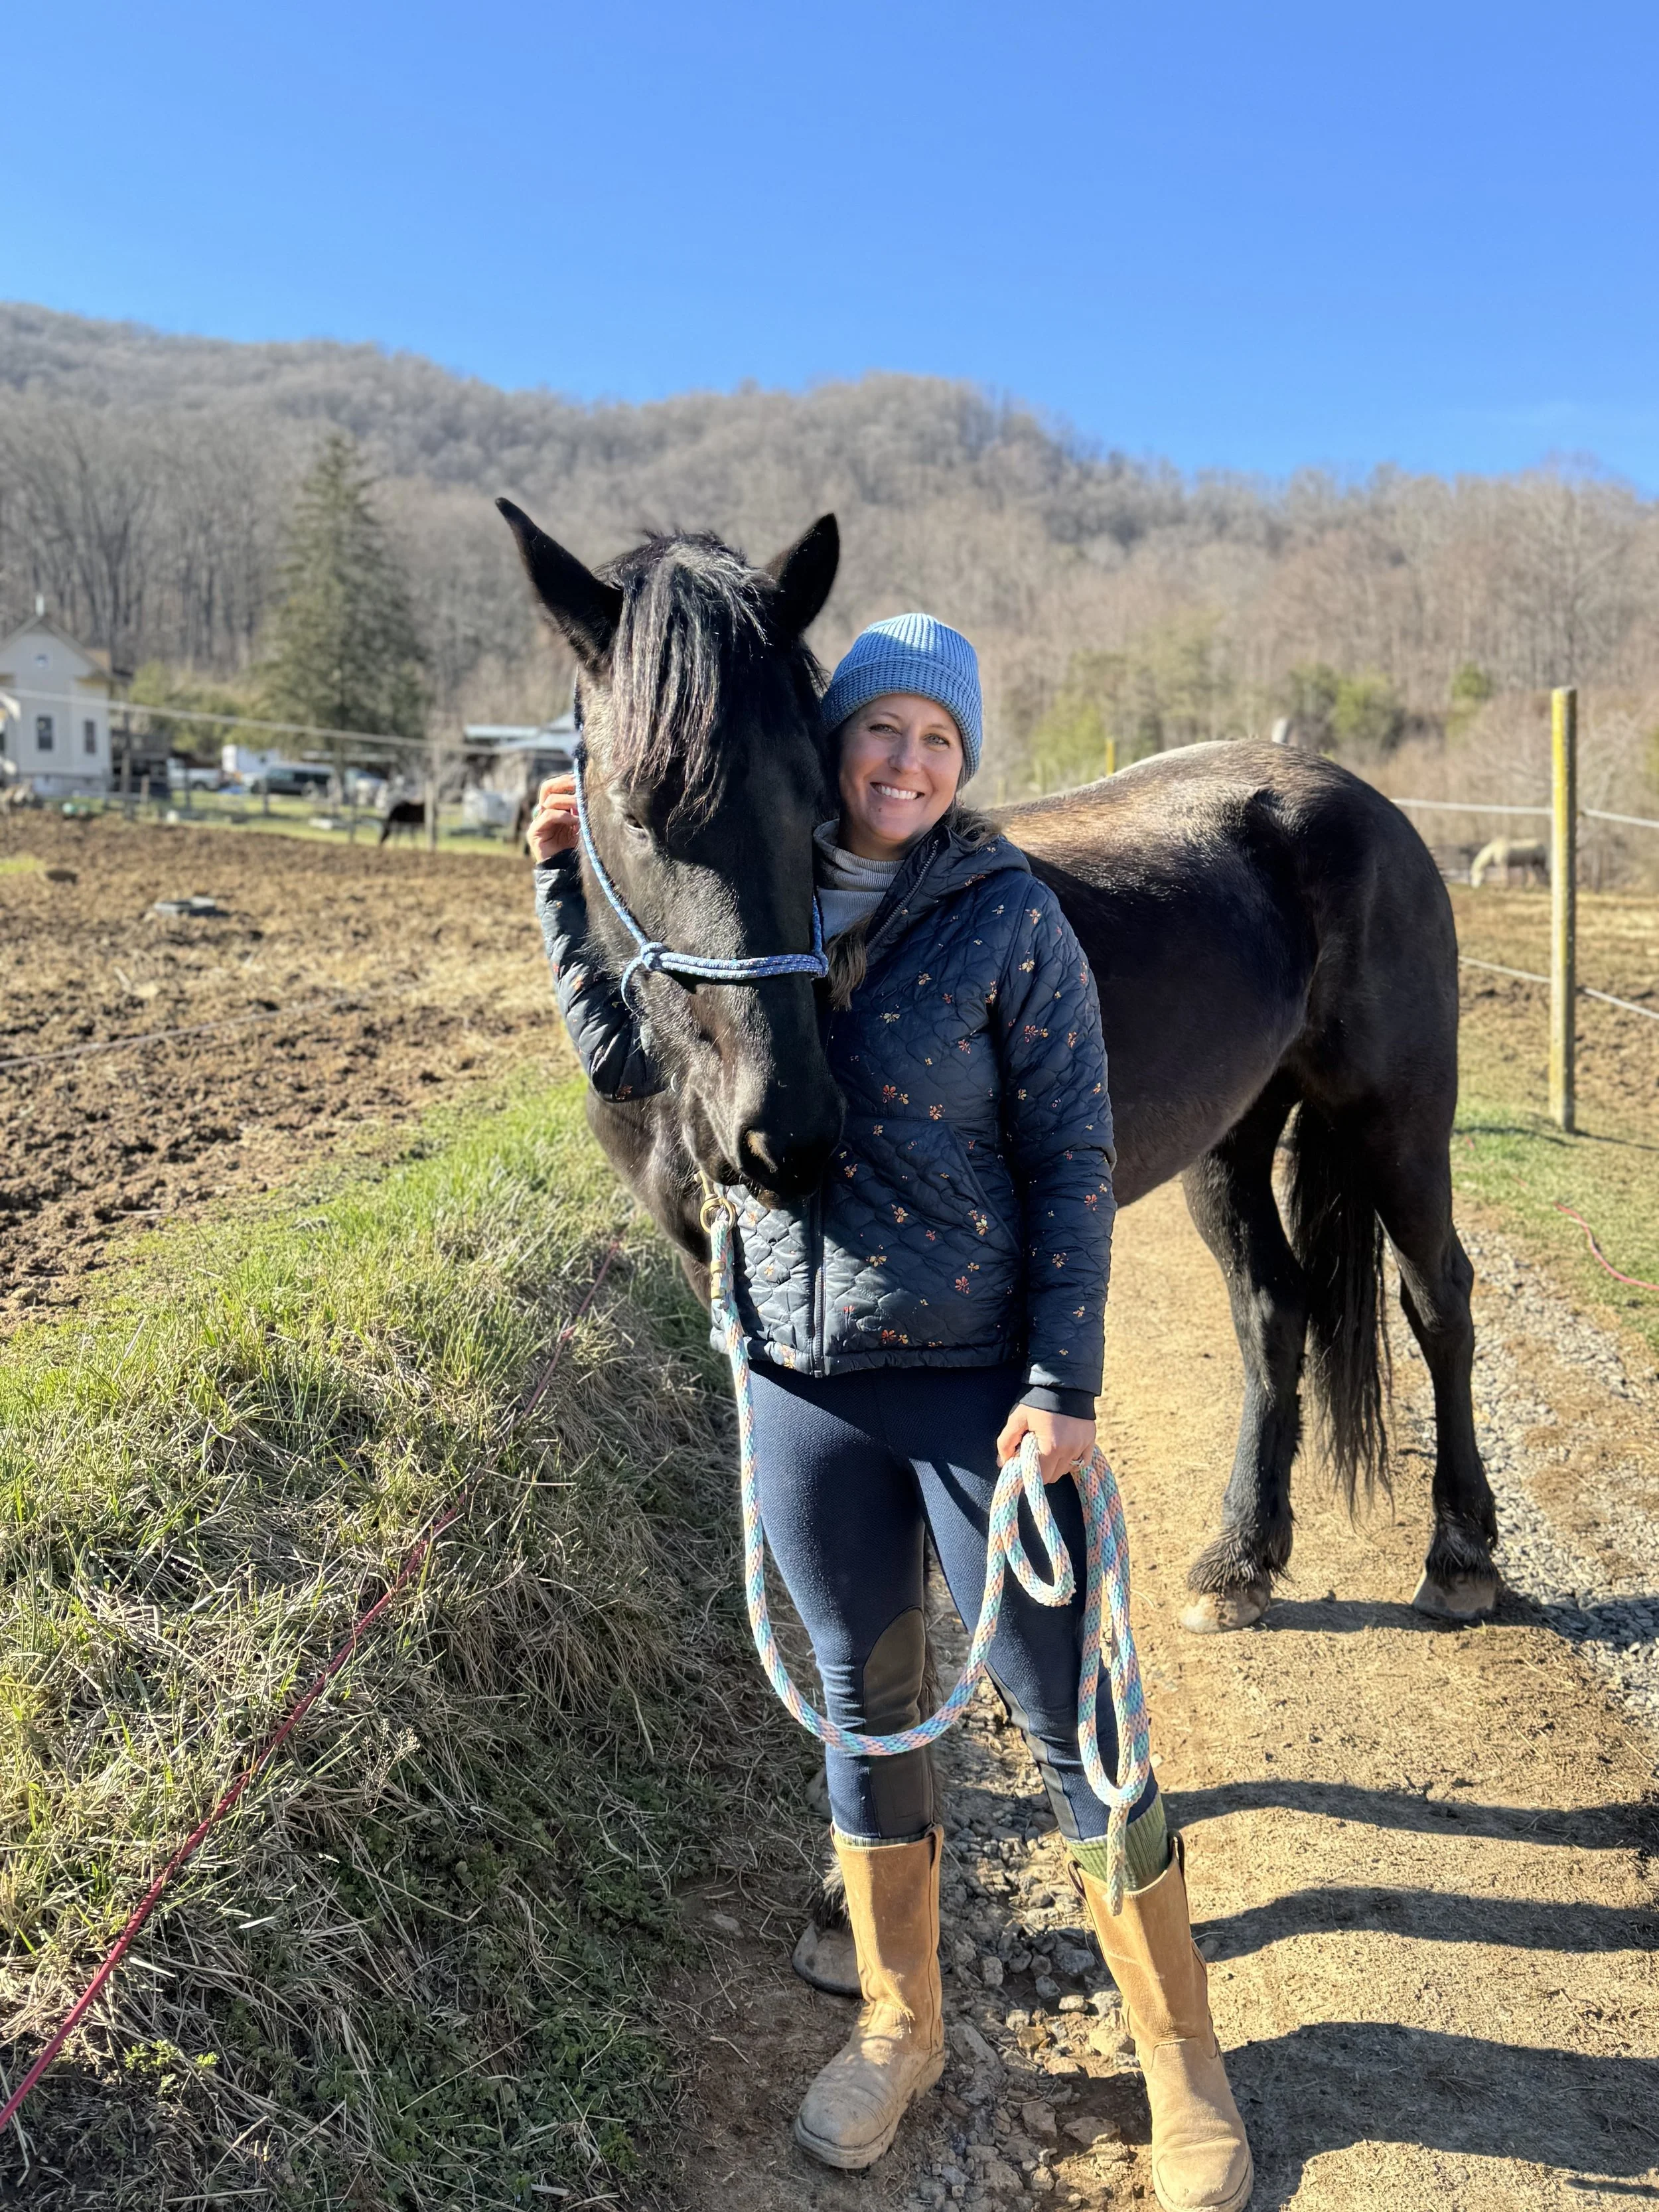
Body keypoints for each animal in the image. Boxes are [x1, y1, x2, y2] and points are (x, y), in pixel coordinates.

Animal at [497, 499, 1499, 1631]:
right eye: (633, 808)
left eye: (812, 799)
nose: (785, 1129)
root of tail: (1368, 808)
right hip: (1231, 1142)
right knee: (1273, 1312)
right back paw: (1244, 1557)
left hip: (1394, 1121)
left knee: (1438, 1301)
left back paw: (1459, 1555)